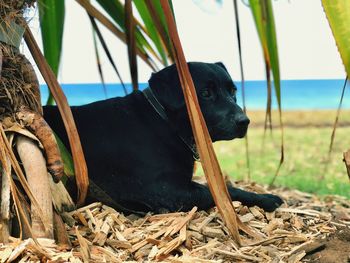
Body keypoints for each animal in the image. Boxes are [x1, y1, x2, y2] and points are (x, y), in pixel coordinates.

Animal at [43, 63, 284, 214]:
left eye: (233, 91)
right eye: (205, 93)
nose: (245, 121)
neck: (164, 122)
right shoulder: (168, 190)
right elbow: (223, 190)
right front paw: (267, 198)